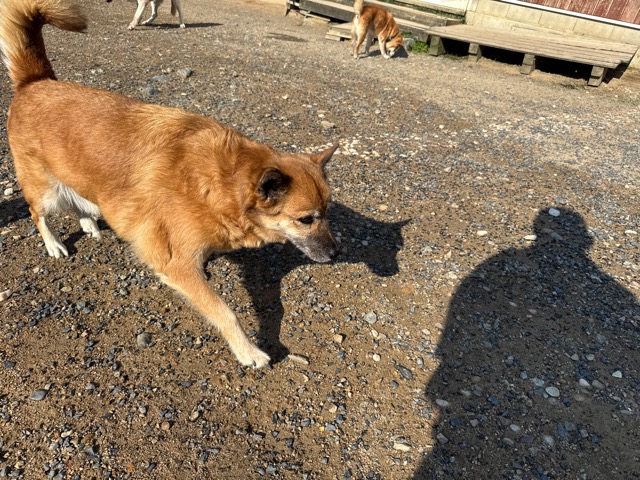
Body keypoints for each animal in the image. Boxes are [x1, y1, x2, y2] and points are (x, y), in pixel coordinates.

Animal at [0, 0, 338, 369]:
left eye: (327, 212)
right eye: (305, 219)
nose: (337, 253)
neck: (222, 181)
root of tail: (36, 82)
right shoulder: (176, 264)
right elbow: (225, 312)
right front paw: (248, 351)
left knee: (81, 200)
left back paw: (89, 223)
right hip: (44, 190)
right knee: (38, 214)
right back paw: (54, 244)